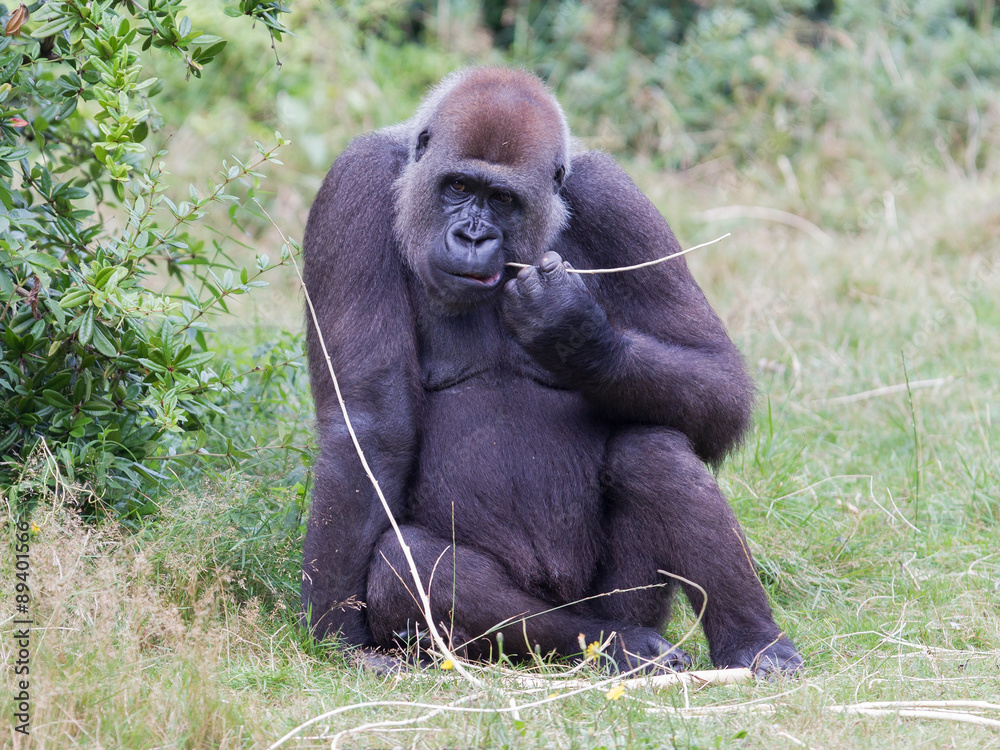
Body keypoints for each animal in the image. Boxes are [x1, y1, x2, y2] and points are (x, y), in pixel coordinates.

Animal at [298, 67, 804, 680]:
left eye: (502, 199)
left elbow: (719, 381)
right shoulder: (355, 184)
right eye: (458, 187)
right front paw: (339, 633)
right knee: (412, 564)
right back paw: (615, 643)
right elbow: (372, 424)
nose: (472, 237)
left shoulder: (615, 197)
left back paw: (753, 642)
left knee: (652, 449)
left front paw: (575, 335)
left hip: (625, 599)